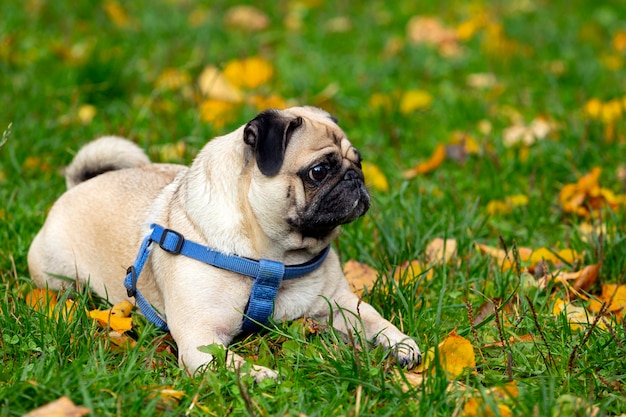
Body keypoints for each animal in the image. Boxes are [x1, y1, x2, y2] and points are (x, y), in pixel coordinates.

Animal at [29, 105, 420, 378]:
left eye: (360, 162)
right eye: (319, 171)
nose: (355, 178)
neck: (275, 259)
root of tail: (79, 185)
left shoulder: (339, 302)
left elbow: (373, 319)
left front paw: (400, 344)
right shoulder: (199, 336)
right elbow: (228, 362)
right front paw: (260, 375)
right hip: (57, 274)